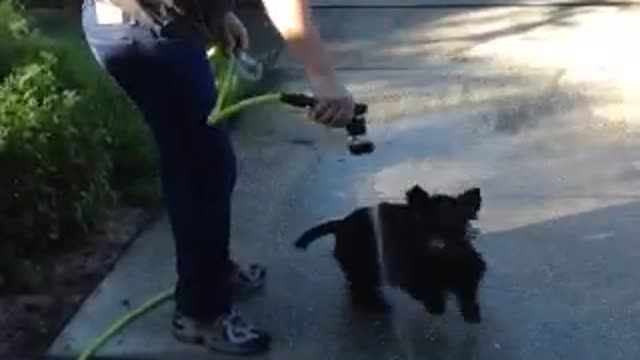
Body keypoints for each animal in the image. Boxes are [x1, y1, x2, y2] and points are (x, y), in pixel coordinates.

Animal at [294, 186, 484, 324]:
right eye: (427, 223)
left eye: (460, 225)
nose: (439, 247)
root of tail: (340, 223)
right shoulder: (407, 270)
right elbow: (425, 286)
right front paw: (436, 304)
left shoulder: (468, 268)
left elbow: (467, 285)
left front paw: (471, 311)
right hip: (362, 268)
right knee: (358, 289)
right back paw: (376, 305)